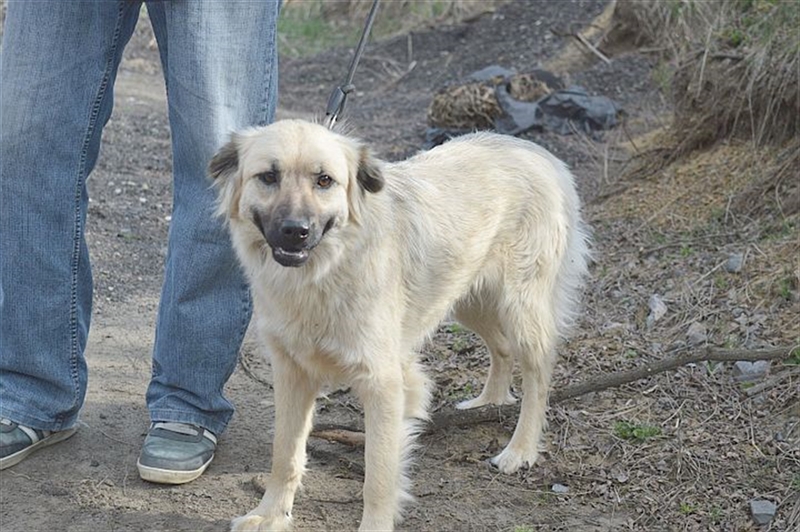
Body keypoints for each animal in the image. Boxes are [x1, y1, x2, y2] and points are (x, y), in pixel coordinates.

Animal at [210, 119, 590, 531]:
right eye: (268, 176)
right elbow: (285, 454)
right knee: (501, 347)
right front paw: (271, 514)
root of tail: (537, 152)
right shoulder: (292, 373)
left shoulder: (382, 384)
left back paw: (520, 449)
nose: (296, 230)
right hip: (467, 299)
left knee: (539, 375)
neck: (324, 273)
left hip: (519, 308)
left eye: (324, 180)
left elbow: (378, 473)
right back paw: (489, 400)